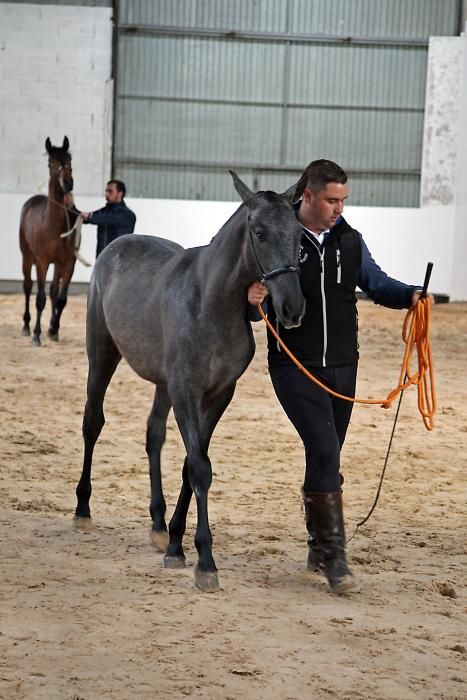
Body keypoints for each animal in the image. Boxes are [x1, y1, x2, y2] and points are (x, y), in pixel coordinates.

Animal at [19, 135, 77, 344]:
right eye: (51, 162)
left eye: (69, 160)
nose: (68, 183)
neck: (54, 226)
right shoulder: (42, 262)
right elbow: (40, 299)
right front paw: (37, 334)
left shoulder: (68, 263)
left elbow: (61, 298)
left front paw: (53, 329)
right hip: (27, 256)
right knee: (28, 287)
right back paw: (26, 326)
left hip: (56, 264)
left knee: (53, 291)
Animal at [75, 170, 306, 592]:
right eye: (260, 233)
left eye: (299, 235)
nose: (292, 308)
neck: (210, 303)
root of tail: (116, 245)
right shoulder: (186, 392)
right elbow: (199, 467)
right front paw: (205, 562)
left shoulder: (217, 395)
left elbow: (190, 463)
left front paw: (176, 545)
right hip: (102, 357)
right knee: (92, 422)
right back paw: (82, 508)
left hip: (162, 384)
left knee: (153, 435)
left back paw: (157, 524)